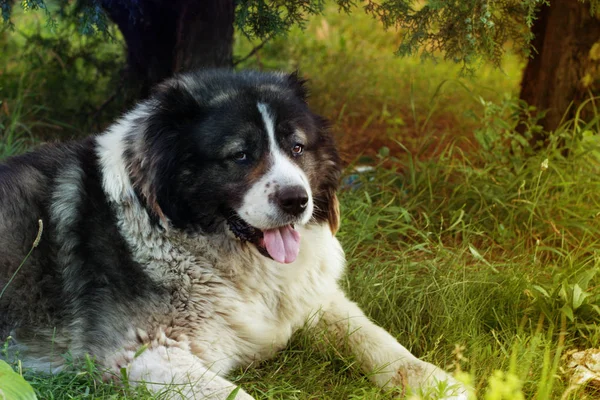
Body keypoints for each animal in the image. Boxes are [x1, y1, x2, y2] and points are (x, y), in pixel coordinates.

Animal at [0, 70, 468, 398]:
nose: (297, 200)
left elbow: (375, 338)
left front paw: (437, 381)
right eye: (241, 156)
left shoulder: (314, 300)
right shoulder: (140, 355)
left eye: (297, 147)